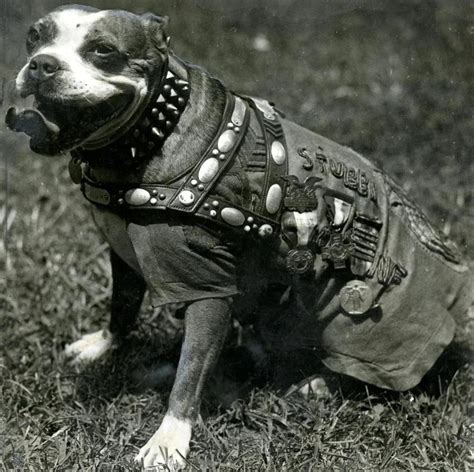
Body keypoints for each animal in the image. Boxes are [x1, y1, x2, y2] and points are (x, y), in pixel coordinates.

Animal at [5, 3, 472, 468]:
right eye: (34, 36)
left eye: (103, 51)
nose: (42, 64)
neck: (153, 132)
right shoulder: (122, 254)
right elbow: (122, 307)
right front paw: (102, 346)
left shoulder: (207, 290)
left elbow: (190, 372)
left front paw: (169, 439)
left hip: (354, 318)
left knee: (354, 370)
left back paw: (315, 383)